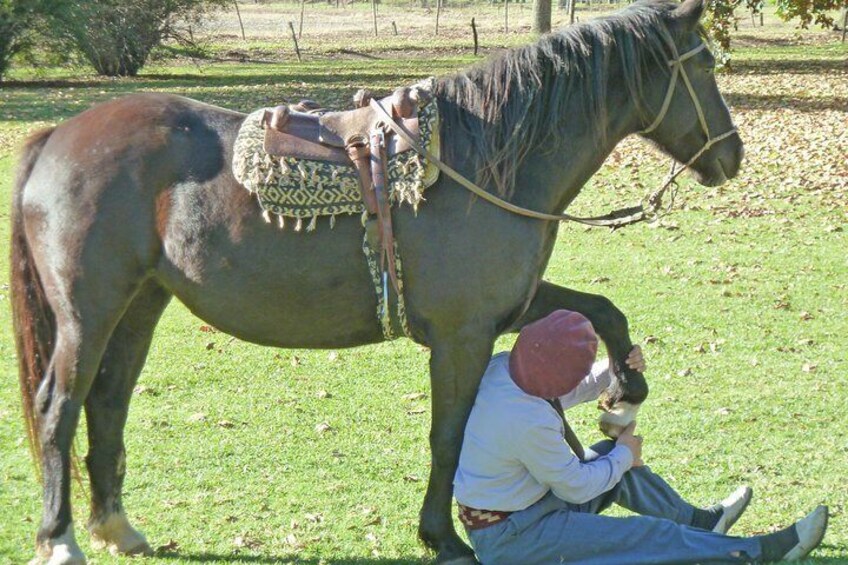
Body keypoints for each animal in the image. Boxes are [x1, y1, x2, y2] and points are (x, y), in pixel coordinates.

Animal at [13, 0, 744, 560]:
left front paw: (626, 387)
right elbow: (448, 435)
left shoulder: (508, 309)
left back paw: (116, 527)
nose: (733, 155)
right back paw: (60, 537)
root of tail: (57, 138)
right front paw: (441, 536)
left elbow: (604, 310)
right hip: (89, 313)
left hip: (140, 305)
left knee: (108, 402)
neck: (484, 161)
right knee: (59, 407)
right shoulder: (462, 335)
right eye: (705, 65)